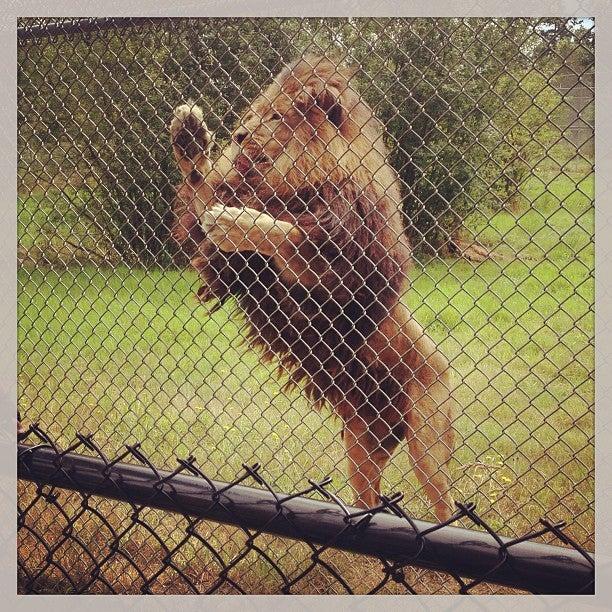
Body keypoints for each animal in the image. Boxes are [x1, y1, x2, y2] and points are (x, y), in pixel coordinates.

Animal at [170, 55, 456, 520]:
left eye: (275, 117)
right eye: (249, 116)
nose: (240, 136)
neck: (296, 178)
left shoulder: (354, 268)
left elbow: (288, 236)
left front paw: (237, 222)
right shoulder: (235, 269)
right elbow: (202, 191)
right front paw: (190, 138)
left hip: (428, 444)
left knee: (445, 507)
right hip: (361, 443)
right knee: (367, 496)